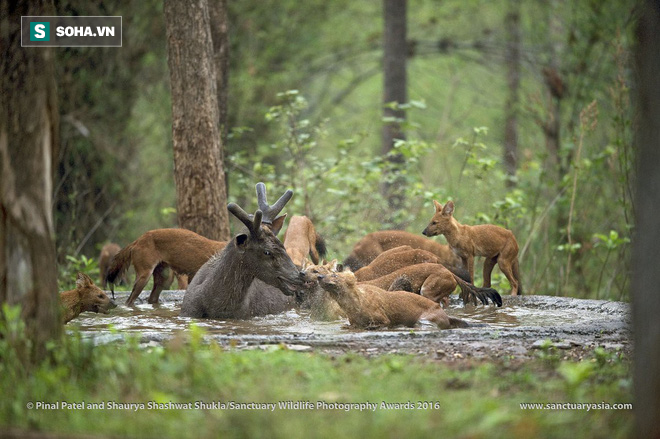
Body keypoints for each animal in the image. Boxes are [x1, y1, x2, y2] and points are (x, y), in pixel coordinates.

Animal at [107, 182, 292, 306]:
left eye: (272, 234)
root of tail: (136, 241)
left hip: (164, 273)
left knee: (152, 298)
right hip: (144, 269)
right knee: (130, 300)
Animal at [316, 272, 466, 330]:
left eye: (334, 275)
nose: (319, 276)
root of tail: (445, 314)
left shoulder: (383, 317)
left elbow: (382, 323)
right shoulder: (353, 321)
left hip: (425, 317)